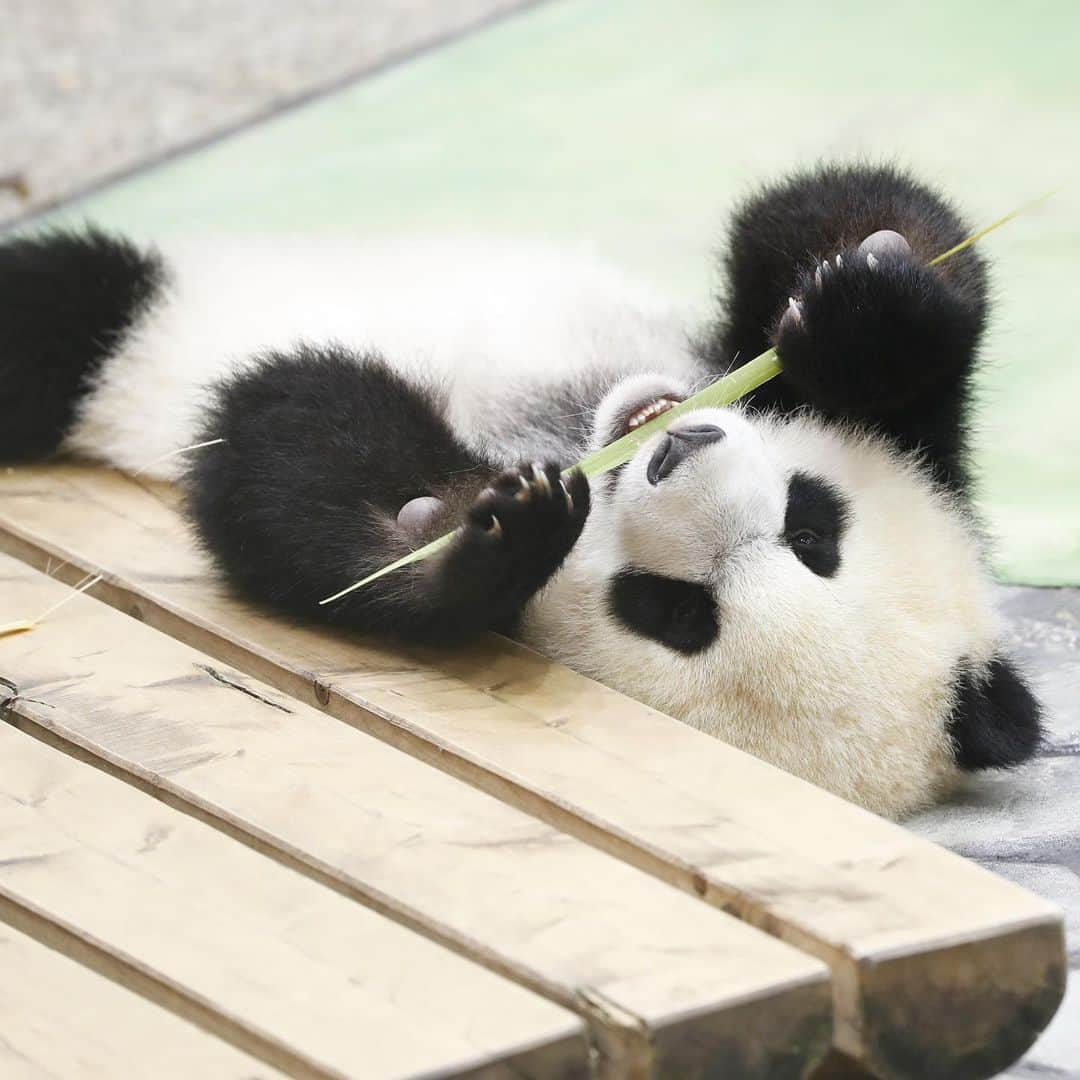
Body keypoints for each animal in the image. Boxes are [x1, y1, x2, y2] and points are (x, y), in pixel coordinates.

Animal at [2, 162, 1045, 816]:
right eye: (813, 526)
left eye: (669, 612)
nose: (672, 453)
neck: (564, 428)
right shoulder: (905, 433)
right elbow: (847, 218)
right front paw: (867, 315)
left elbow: (273, 447)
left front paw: (464, 543)